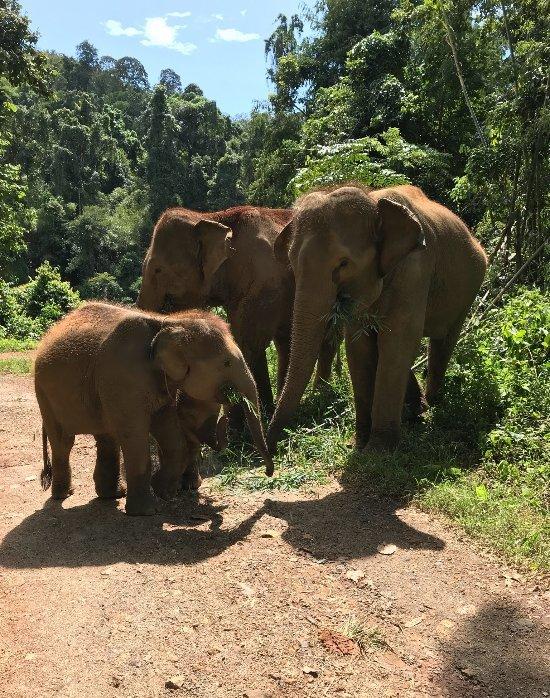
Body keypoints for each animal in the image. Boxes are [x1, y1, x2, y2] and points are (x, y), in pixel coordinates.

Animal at [35, 300, 274, 512]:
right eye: (226, 363)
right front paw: (147, 510)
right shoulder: (123, 377)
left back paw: (112, 495)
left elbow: (169, 430)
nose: (268, 473)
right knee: (64, 442)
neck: (168, 322)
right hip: (44, 394)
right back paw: (64, 495)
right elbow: (135, 434)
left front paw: (162, 491)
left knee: (106, 437)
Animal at [270, 182, 490, 452]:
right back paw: (416, 410)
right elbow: (360, 346)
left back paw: (432, 405)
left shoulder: (415, 269)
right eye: (291, 263)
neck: (374, 202)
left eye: (343, 263)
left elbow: (397, 340)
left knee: (443, 341)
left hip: (470, 286)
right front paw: (359, 444)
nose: (272, 449)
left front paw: (377, 451)